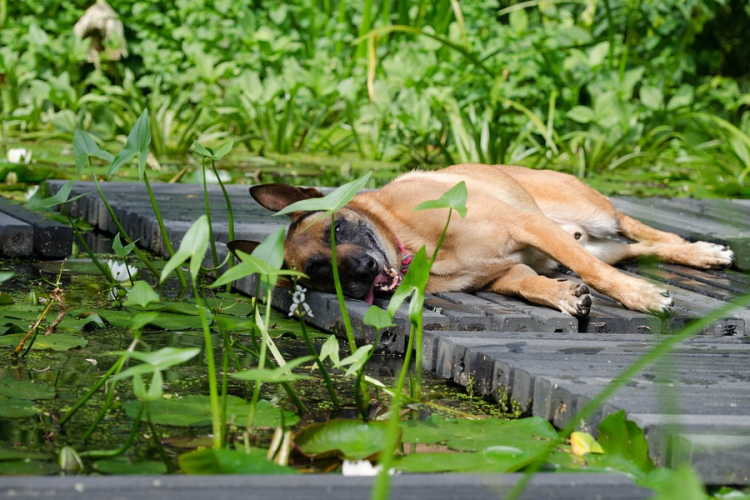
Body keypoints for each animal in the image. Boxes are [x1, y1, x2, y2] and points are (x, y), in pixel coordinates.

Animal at [229, 164, 736, 316]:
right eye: (317, 272)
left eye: (335, 230)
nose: (361, 274)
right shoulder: (503, 274)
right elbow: (529, 284)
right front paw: (562, 295)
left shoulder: (527, 226)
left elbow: (595, 273)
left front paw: (639, 297)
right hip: (597, 240)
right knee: (637, 248)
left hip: (594, 214)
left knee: (639, 229)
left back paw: (702, 251)